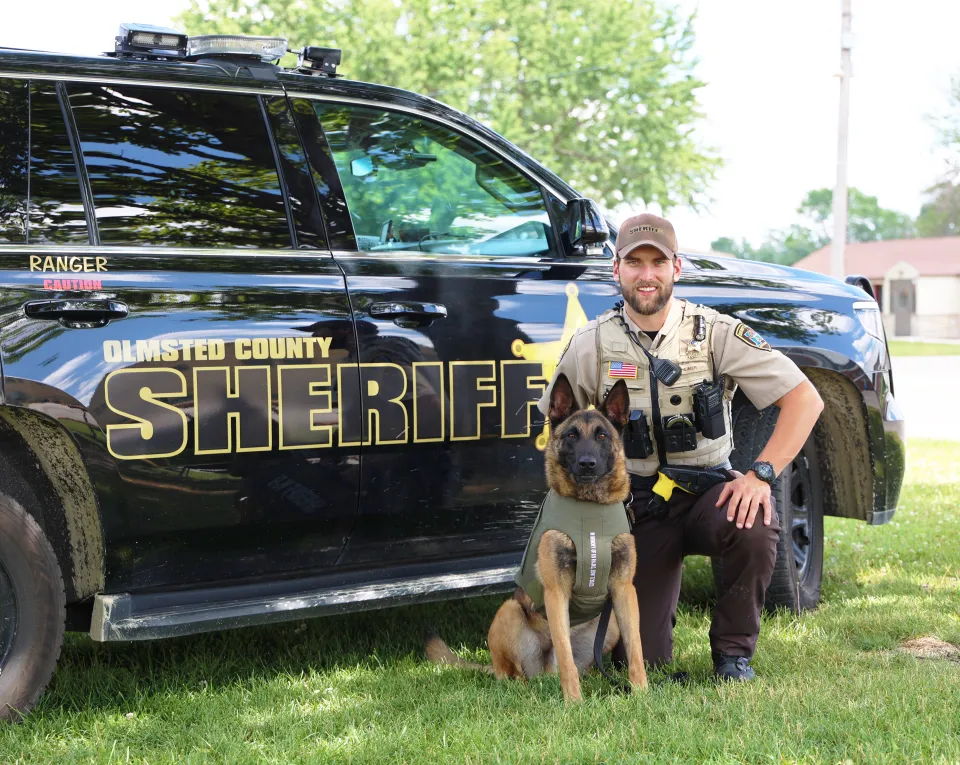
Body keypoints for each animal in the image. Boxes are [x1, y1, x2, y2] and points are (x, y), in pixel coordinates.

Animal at [426, 374, 644, 700]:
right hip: (509, 612)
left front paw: (642, 693)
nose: (587, 463)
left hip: (610, 626)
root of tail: (542, 671)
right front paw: (574, 702)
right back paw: (519, 688)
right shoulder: (556, 593)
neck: (589, 508)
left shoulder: (623, 590)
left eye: (602, 436)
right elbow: (566, 658)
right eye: (572, 436)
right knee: (516, 671)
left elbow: (636, 650)